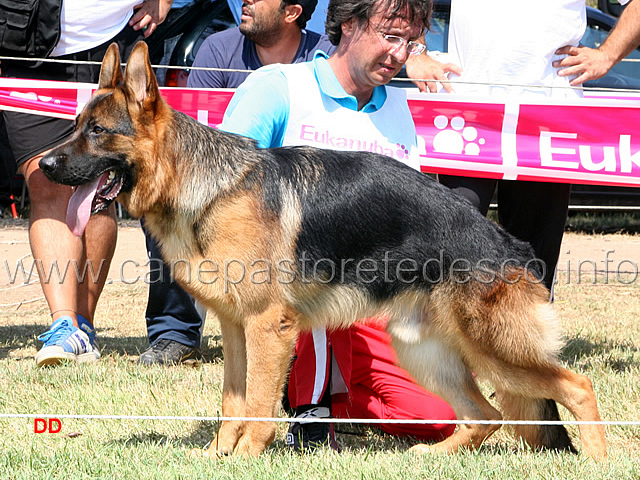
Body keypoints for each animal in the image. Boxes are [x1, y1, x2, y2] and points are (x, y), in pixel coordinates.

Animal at [37, 43, 608, 460]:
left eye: (97, 131)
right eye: (75, 125)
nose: (41, 165)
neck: (206, 187)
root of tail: (510, 243)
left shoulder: (269, 327)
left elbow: (259, 404)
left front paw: (247, 457)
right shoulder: (237, 330)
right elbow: (233, 399)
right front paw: (218, 456)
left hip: (495, 349)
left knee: (577, 385)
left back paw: (600, 461)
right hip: (424, 351)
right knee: (486, 414)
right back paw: (432, 457)